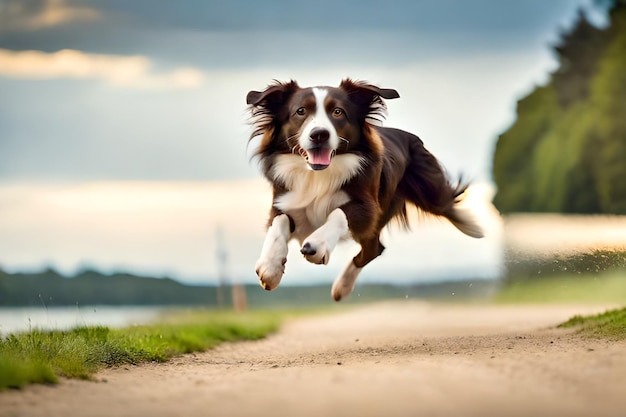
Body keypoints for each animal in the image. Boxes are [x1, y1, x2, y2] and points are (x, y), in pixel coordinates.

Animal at [244, 77, 482, 300]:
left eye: (338, 112)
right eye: (300, 111)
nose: (319, 134)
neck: (318, 175)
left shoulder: (367, 206)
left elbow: (338, 213)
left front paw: (317, 244)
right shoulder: (285, 200)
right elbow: (279, 222)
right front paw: (270, 268)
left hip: (424, 188)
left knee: (440, 206)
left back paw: (473, 226)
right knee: (374, 249)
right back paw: (342, 287)